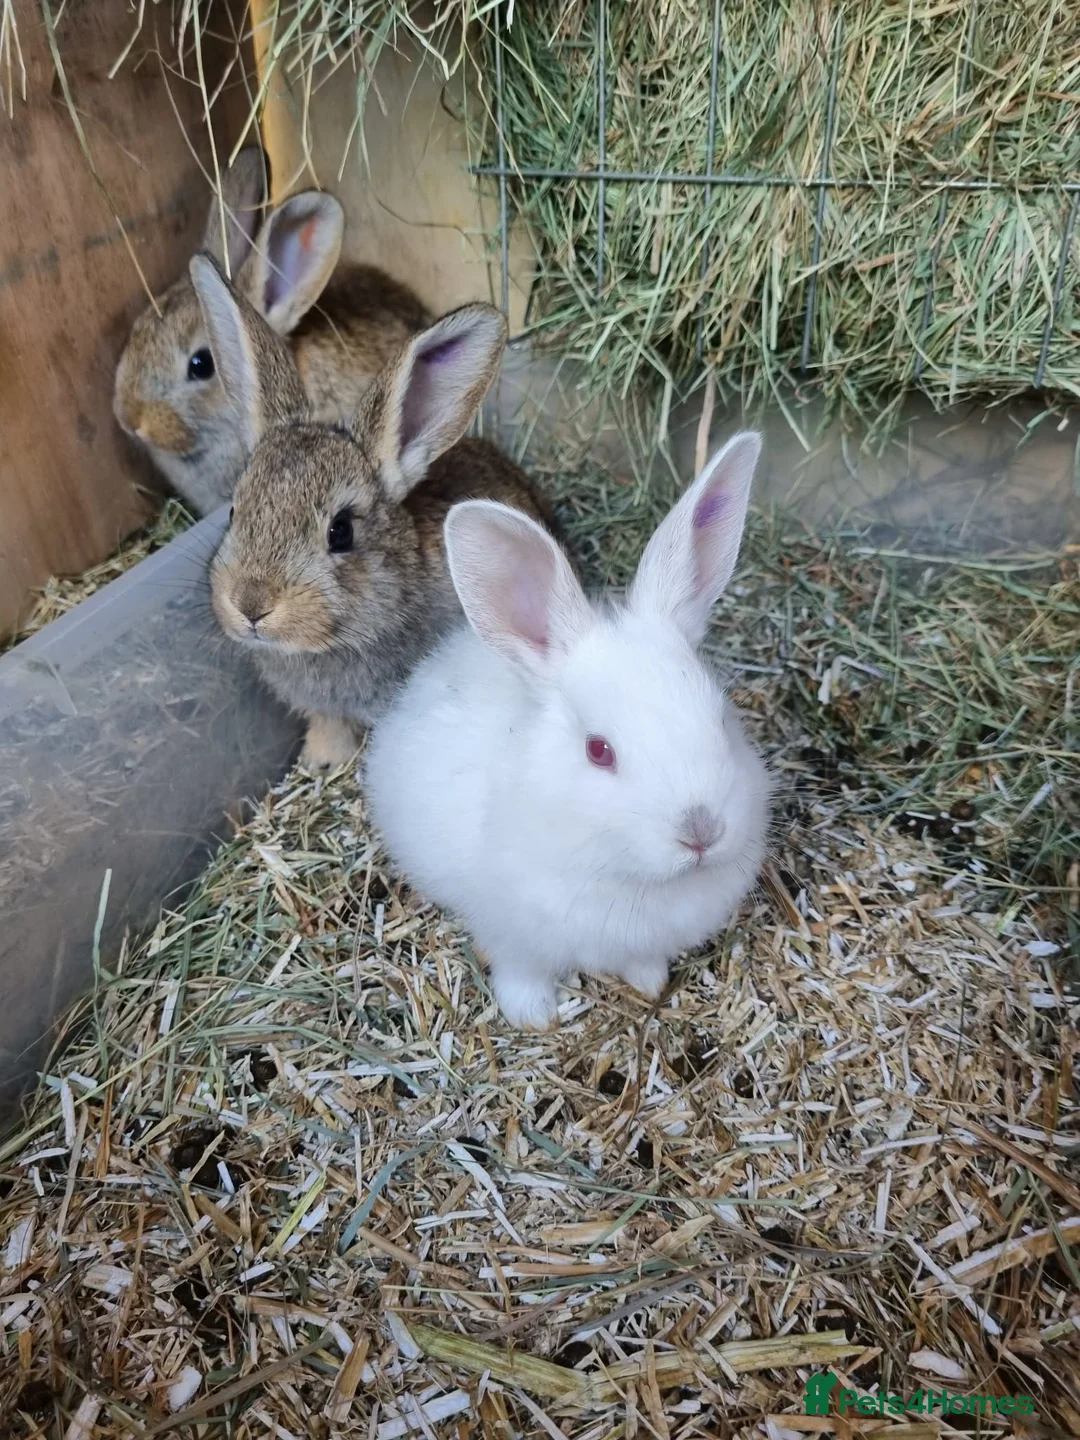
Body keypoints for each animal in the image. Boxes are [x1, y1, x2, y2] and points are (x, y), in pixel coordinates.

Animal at [364, 432, 773, 1031]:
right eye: (598, 751)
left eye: (721, 717)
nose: (700, 832)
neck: (624, 871)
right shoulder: (512, 936)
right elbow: (521, 972)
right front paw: (534, 1018)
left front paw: (650, 984)